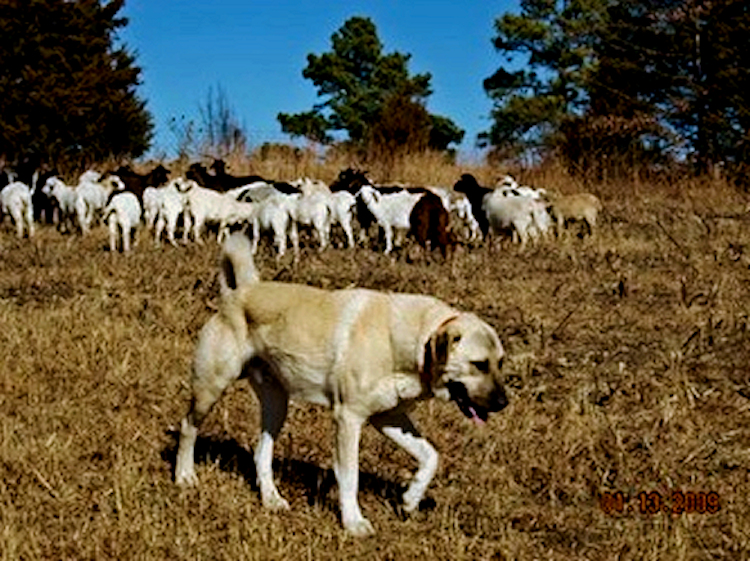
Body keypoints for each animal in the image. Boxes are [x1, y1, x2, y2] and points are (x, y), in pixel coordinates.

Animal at [173, 232, 508, 532]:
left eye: (500, 363)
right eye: (479, 364)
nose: (504, 403)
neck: (413, 341)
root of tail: (242, 290)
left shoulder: (389, 417)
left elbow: (430, 456)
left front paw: (411, 498)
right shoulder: (349, 418)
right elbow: (349, 476)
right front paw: (353, 522)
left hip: (277, 404)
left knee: (261, 453)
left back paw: (271, 499)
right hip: (211, 386)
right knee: (188, 427)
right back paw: (185, 476)